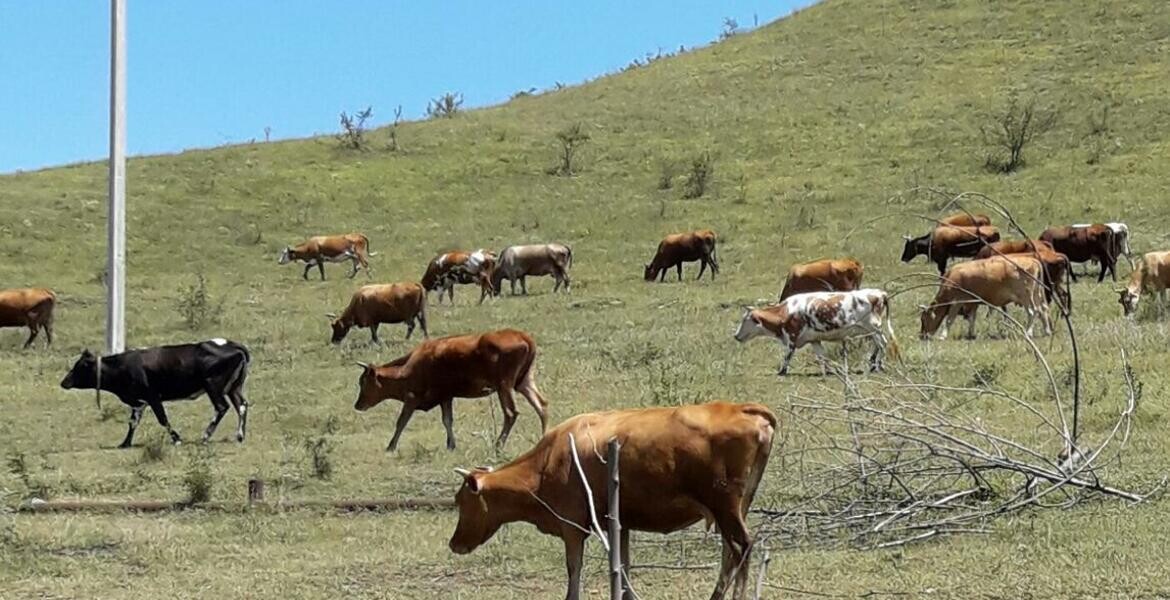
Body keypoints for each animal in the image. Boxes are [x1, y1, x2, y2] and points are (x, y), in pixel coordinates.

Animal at [59, 339, 251, 446]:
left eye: (79, 367)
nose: (63, 382)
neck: (122, 366)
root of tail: (233, 345)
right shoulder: (139, 401)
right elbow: (133, 422)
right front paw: (125, 443)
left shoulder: (152, 397)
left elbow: (162, 419)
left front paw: (177, 439)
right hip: (234, 387)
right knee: (241, 405)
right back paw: (240, 435)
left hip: (213, 386)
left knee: (222, 407)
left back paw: (205, 436)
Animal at [351, 327, 547, 449]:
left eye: (363, 382)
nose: (358, 405)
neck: (410, 367)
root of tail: (522, 336)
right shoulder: (446, 397)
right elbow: (447, 420)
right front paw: (451, 444)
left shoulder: (412, 398)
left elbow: (401, 421)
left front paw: (391, 446)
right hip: (523, 382)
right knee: (542, 405)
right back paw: (545, 437)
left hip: (503, 386)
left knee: (511, 413)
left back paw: (498, 445)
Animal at [449, 397, 776, 598]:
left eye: (461, 501)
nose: (454, 544)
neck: (548, 461)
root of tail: (743, 409)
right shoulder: (621, 524)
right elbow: (624, 567)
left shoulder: (572, 525)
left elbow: (574, 569)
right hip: (736, 507)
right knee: (730, 552)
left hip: (725, 506)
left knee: (741, 547)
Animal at [734, 288, 898, 374]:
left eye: (745, 319)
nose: (736, 335)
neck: (785, 311)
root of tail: (879, 293)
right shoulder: (814, 339)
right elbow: (821, 356)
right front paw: (828, 371)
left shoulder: (792, 336)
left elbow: (787, 355)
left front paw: (782, 371)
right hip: (870, 330)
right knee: (878, 345)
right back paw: (873, 364)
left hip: (873, 327)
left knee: (882, 343)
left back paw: (879, 366)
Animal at [921, 252, 1053, 339]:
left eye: (923, 319)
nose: (922, 335)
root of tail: (1033, 260)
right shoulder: (973, 302)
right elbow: (972, 318)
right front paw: (971, 334)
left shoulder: (957, 301)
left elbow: (949, 319)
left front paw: (943, 336)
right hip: (1037, 294)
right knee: (1043, 309)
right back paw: (1047, 331)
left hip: (1025, 296)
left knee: (1033, 311)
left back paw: (1028, 332)